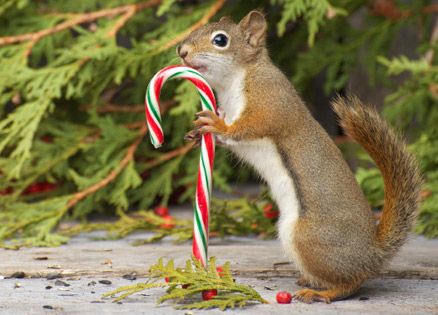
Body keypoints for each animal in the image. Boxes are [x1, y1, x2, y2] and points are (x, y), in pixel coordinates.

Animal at [176, 10, 422, 304]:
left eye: (220, 40)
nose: (182, 51)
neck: (238, 78)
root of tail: (372, 255)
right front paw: (196, 133)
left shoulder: (270, 101)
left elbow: (249, 126)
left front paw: (216, 124)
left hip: (307, 236)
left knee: (352, 283)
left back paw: (322, 292)